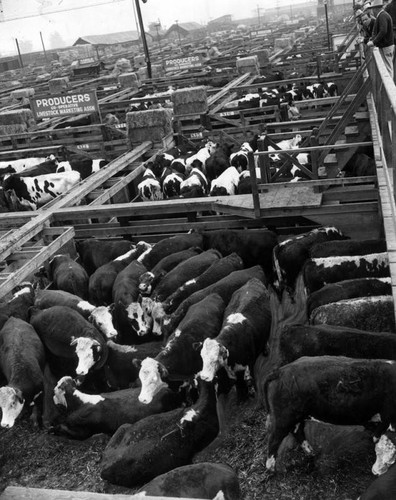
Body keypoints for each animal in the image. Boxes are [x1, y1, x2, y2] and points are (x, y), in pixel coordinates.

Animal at [262, 356, 396, 472]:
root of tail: (279, 371)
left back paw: (311, 451)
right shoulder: (387, 416)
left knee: (297, 431)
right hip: (283, 418)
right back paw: (271, 468)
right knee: (274, 439)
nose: (375, 472)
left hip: (297, 416)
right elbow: (378, 436)